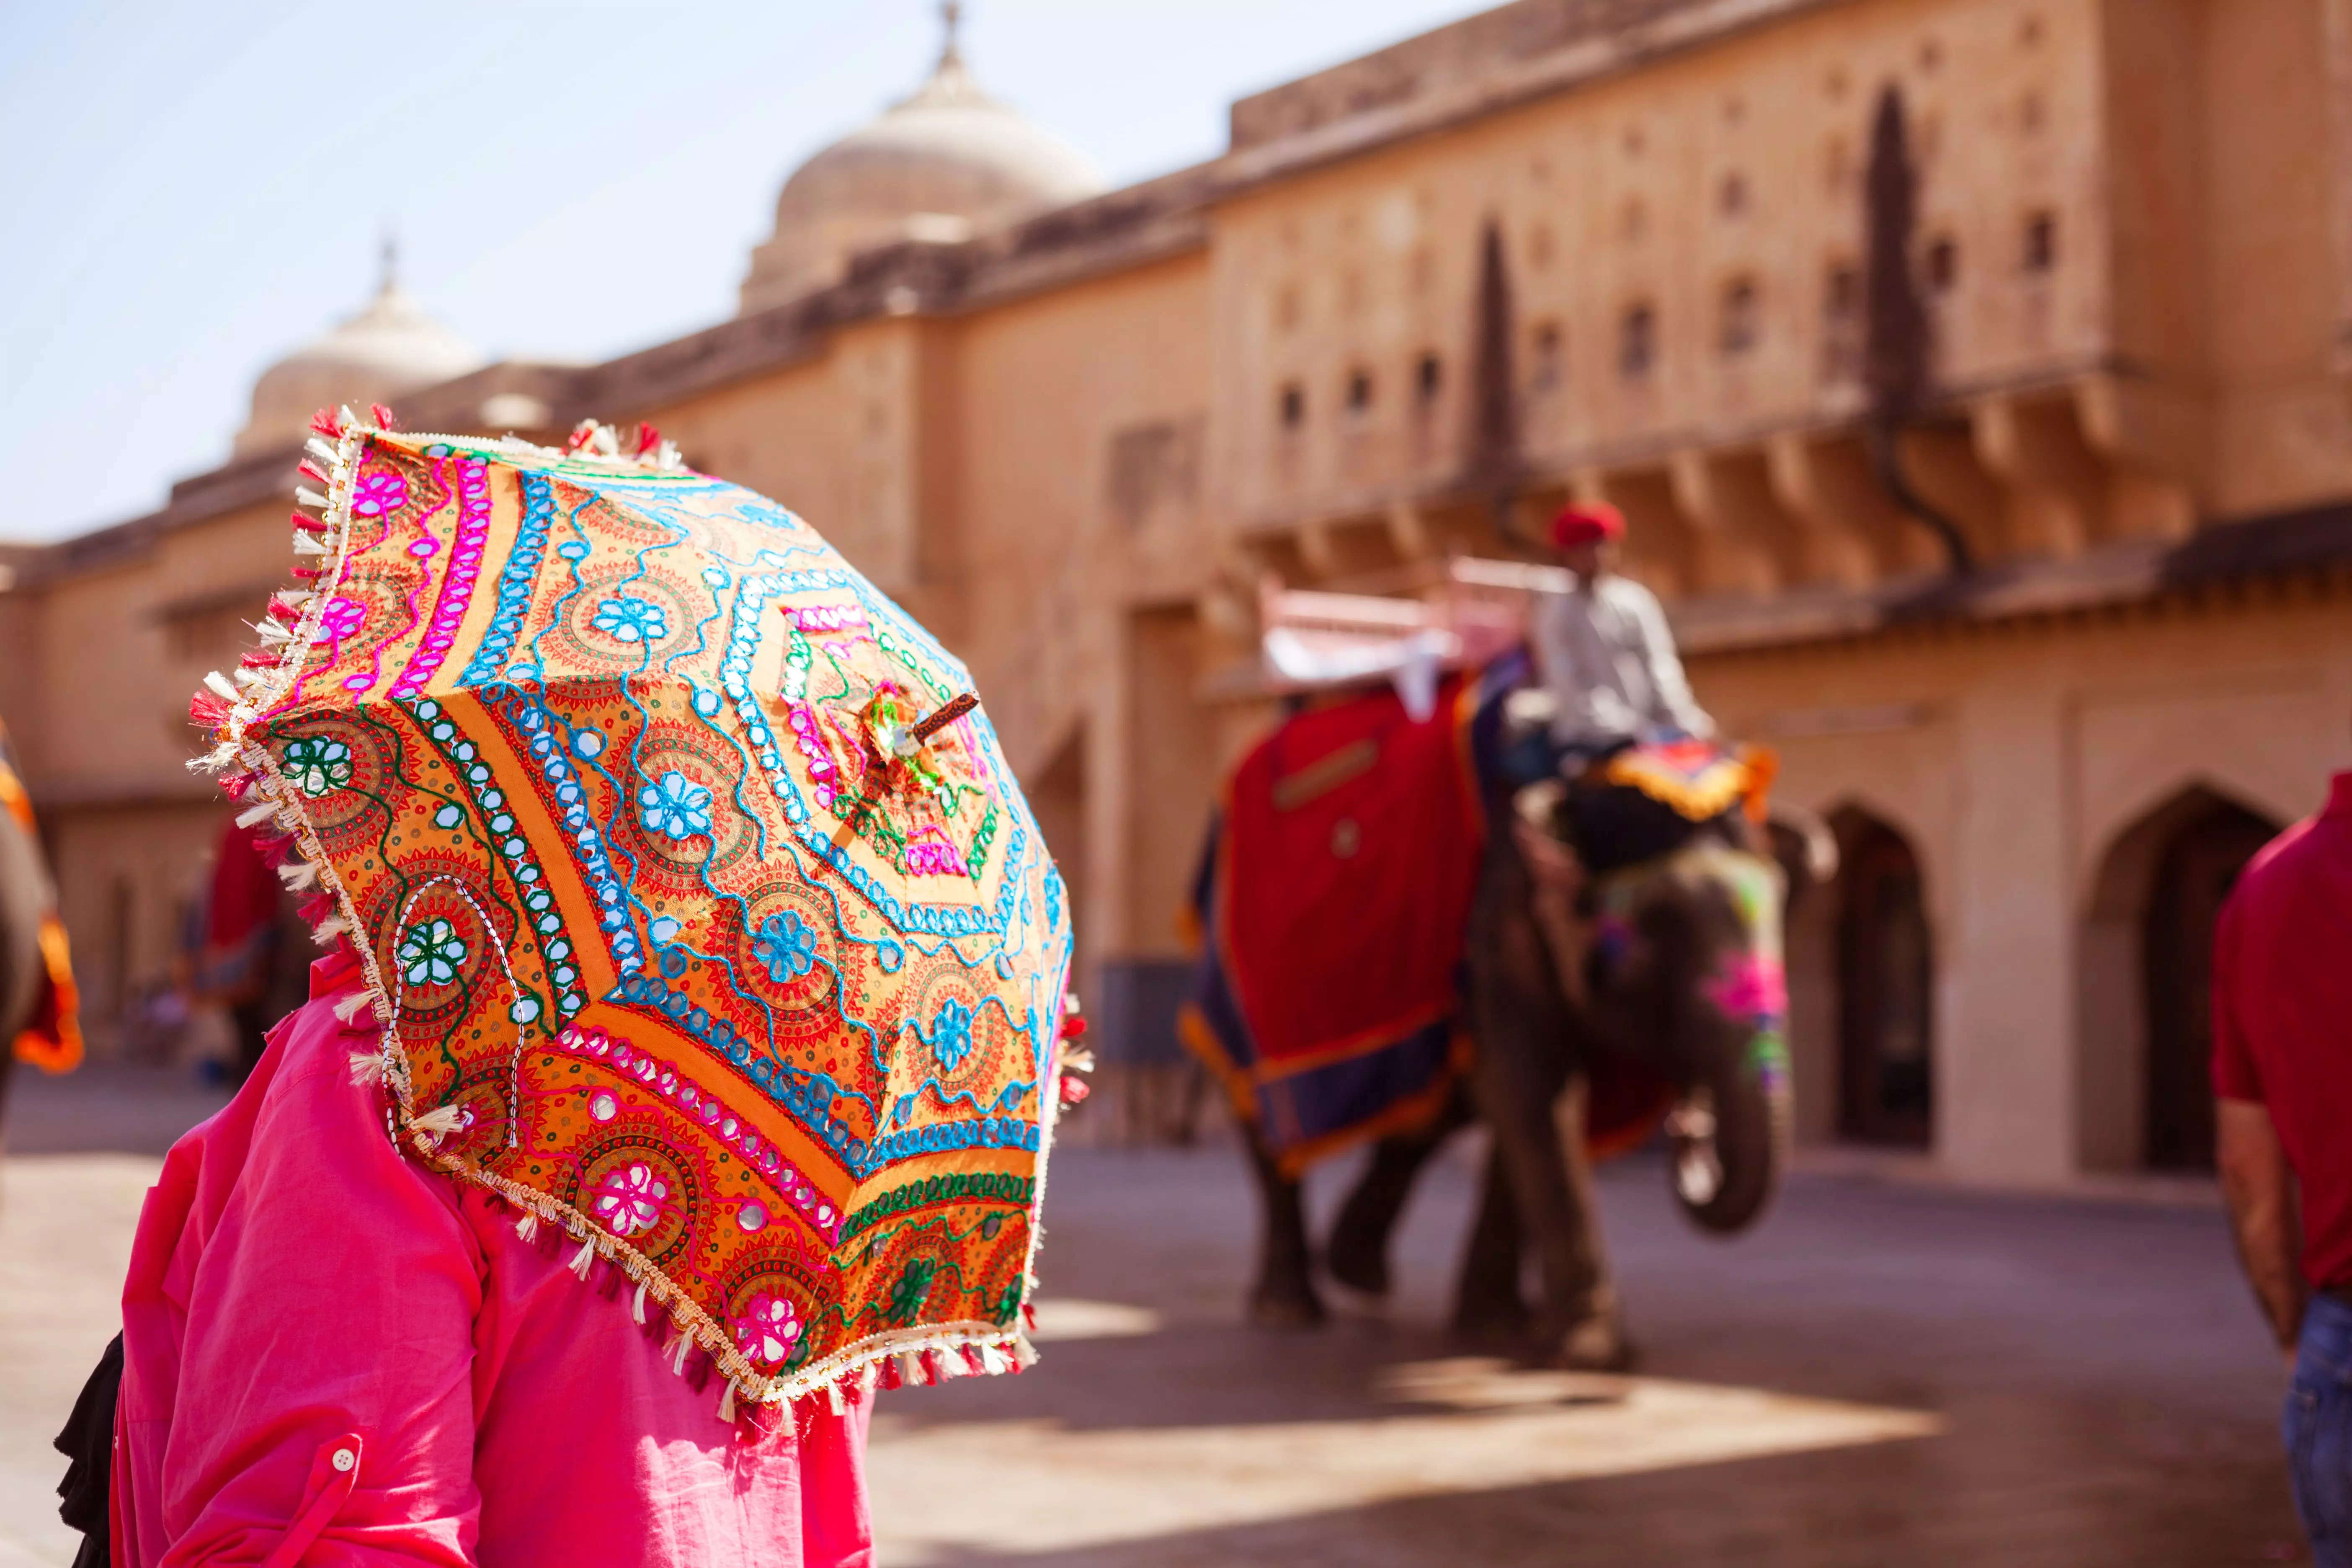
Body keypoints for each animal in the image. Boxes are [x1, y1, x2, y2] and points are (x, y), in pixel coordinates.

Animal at [1185, 668, 1825, 1363]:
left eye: (1782, 912)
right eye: (1652, 935)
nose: (1689, 1132)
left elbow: (1527, 1108)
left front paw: (1501, 1329)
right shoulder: (1499, 919)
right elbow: (1535, 1093)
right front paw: (1592, 1356)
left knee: (1426, 1115)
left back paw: (1360, 1273)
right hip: (1234, 978)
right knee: (1269, 1120)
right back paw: (1287, 1308)